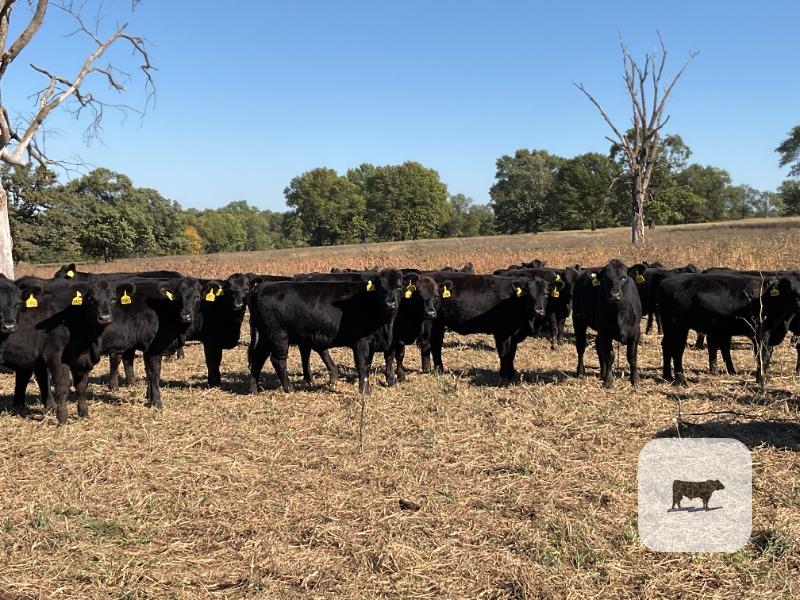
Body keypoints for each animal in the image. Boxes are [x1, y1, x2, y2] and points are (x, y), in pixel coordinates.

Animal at [248, 270, 404, 394]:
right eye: (381, 287)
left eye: (399, 286)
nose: (390, 304)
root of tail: (262, 288)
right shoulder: (361, 343)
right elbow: (362, 366)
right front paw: (364, 391)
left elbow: (374, 364)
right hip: (278, 336)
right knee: (278, 360)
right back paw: (289, 388)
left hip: (266, 336)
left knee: (257, 357)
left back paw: (253, 389)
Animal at [418, 271, 553, 383]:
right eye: (529, 295)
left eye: (546, 294)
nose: (539, 311)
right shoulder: (502, 332)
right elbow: (504, 353)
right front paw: (504, 376)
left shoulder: (513, 334)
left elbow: (511, 353)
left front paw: (511, 374)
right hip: (429, 320)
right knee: (426, 343)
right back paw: (427, 369)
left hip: (439, 323)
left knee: (436, 344)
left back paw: (439, 370)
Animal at [572, 259, 642, 388]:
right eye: (605, 278)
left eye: (623, 278)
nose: (614, 295)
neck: (619, 312)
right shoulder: (606, 332)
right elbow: (610, 356)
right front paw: (609, 381)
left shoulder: (635, 331)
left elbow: (632, 356)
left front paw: (635, 380)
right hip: (578, 320)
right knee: (581, 347)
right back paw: (581, 372)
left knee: (598, 346)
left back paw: (602, 373)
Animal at [657, 272, 800, 385]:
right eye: (789, 289)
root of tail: (665, 281)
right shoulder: (759, 334)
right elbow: (762, 356)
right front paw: (760, 379)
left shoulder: (770, 334)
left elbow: (768, 355)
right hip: (676, 325)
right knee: (676, 349)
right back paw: (680, 380)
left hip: (674, 327)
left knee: (667, 346)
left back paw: (667, 376)